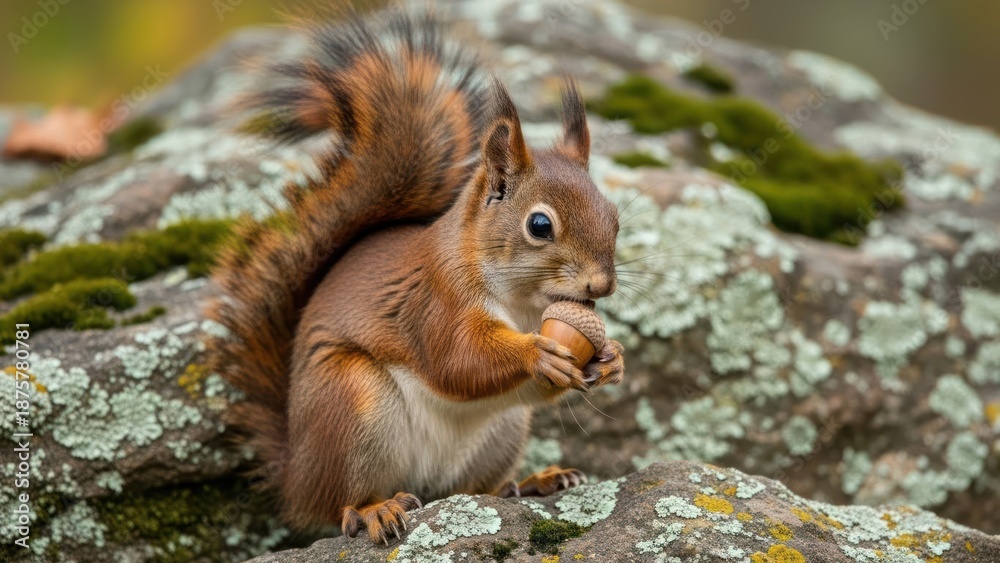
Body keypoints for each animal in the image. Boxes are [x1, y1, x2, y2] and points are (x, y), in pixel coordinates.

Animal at [208, 8, 625, 544]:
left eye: (614, 217)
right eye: (539, 225)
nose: (602, 286)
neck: (523, 305)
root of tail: (295, 476)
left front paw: (612, 360)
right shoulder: (435, 303)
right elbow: (458, 361)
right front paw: (537, 353)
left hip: (505, 428)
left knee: (471, 490)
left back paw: (533, 482)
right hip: (353, 402)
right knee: (338, 505)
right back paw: (375, 510)